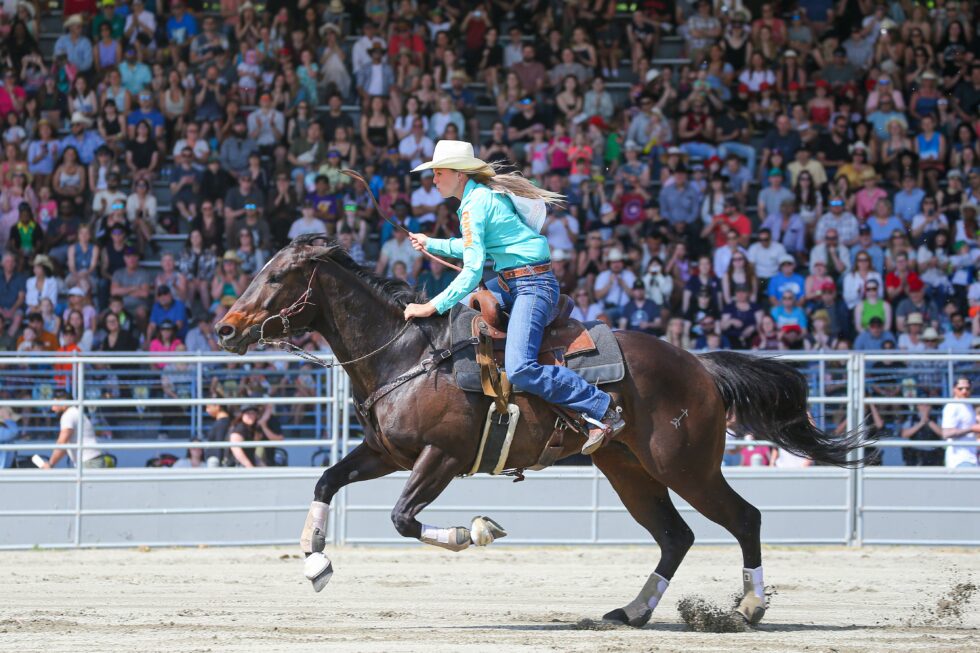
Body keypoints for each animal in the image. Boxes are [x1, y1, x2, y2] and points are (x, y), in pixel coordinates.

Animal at [214, 234, 864, 628]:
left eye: (277, 276)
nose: (224, 329)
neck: (408, 354)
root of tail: (700, 366)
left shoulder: (441, 458)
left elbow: (402, 518)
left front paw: (474, 531)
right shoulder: (384, 452)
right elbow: (326, 481)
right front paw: (314, 562)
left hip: (688, 467)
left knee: (744, 519)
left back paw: (750, 605)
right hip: (631, 471)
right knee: (675, 536)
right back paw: (632, 611)